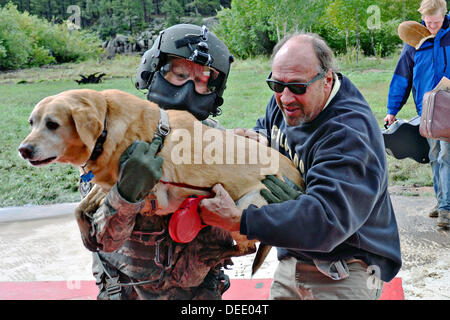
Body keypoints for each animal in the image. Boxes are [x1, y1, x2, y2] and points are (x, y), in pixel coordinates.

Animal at [19, 89, 304, 274]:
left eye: (52, 124)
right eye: (32, 122)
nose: (23, 150)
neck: (108, 126)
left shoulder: (150, 194)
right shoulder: (116, 183)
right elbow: (83, 206)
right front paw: (85, 230)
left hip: (244, 207)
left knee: (247, 248)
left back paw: (216, 253)